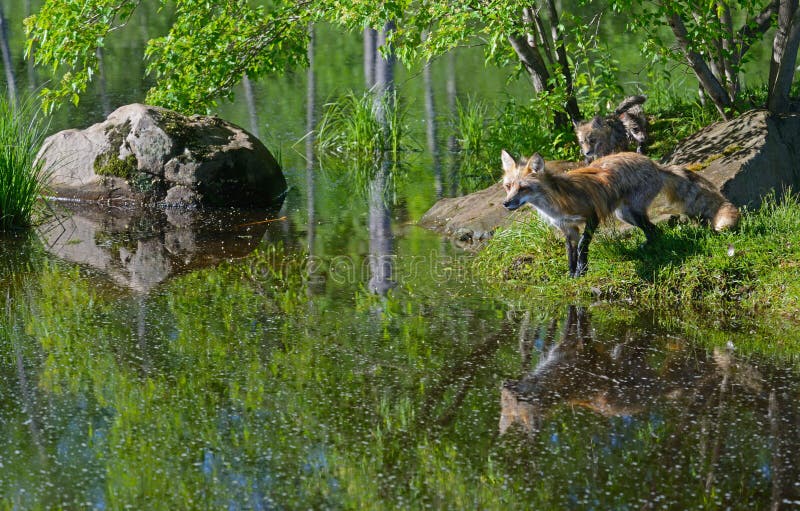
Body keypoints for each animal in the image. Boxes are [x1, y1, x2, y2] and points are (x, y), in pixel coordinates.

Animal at [504, 150, 740, 278]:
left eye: (523, 188)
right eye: (508, 186)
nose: (506, 204)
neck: (556, 202)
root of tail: (654, 163)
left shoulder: (592, 215)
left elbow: (582, 247)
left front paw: (582, 270)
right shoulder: (567, 228)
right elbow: (571, 253)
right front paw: (572, 275)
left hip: (631, 211)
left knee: (654, 229)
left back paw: (651, 250)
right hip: (624, 214)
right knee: (654, 231)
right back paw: (648, 247)